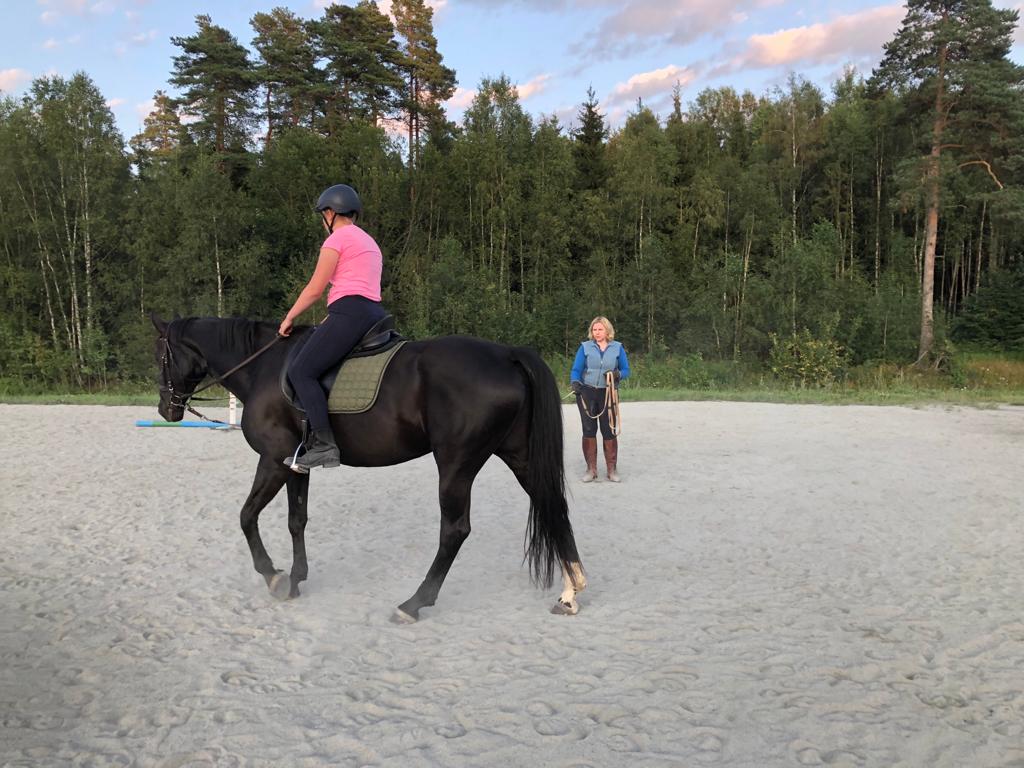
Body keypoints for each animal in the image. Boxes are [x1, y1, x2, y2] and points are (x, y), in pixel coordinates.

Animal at [149, 315, 585, 622]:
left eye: (160, 355)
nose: (166, 409)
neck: (264, 368)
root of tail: (507, 354)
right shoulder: (296, 464)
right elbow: (296, 520)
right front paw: (296, 578)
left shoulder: (273, 460)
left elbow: (246, 516)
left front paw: (273, 576)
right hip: (518, 455)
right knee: (553, 506)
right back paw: (570, 592)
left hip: (456, 463)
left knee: (455, 530)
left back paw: (414, 603)